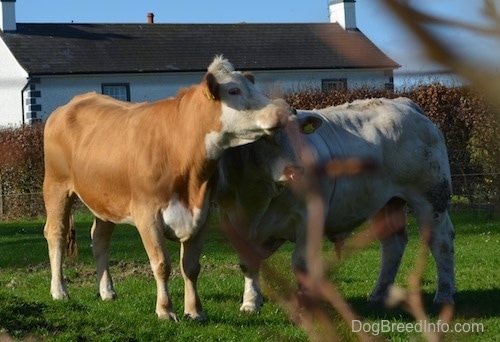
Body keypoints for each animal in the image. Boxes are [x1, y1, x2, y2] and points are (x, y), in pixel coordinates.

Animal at [44, 56, 292, 320]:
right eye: (234, 90)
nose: (280, 113)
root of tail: (72, 103)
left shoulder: (203, 214)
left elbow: (191, 267)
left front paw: (194, 311)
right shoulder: (147, 214)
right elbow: (162, 264)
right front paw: (165, 310)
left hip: (105, 198)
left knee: (100, 238)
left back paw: (107, 291)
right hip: (56, 186)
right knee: (56, 233)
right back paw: (59, 290)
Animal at [217, 97, 456, 312]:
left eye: (299, 135)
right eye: (266, 136)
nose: (297, 169)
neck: (257, 200)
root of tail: (404, 103)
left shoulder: (309, 217)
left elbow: (301, 263)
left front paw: (304, 304)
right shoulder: (232, 223)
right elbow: (248, 263)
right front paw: (251, 302)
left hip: (430, 197)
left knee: (441, 241)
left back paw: (444, 295)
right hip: (386, 203)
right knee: (392, 244)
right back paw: (379, 294)